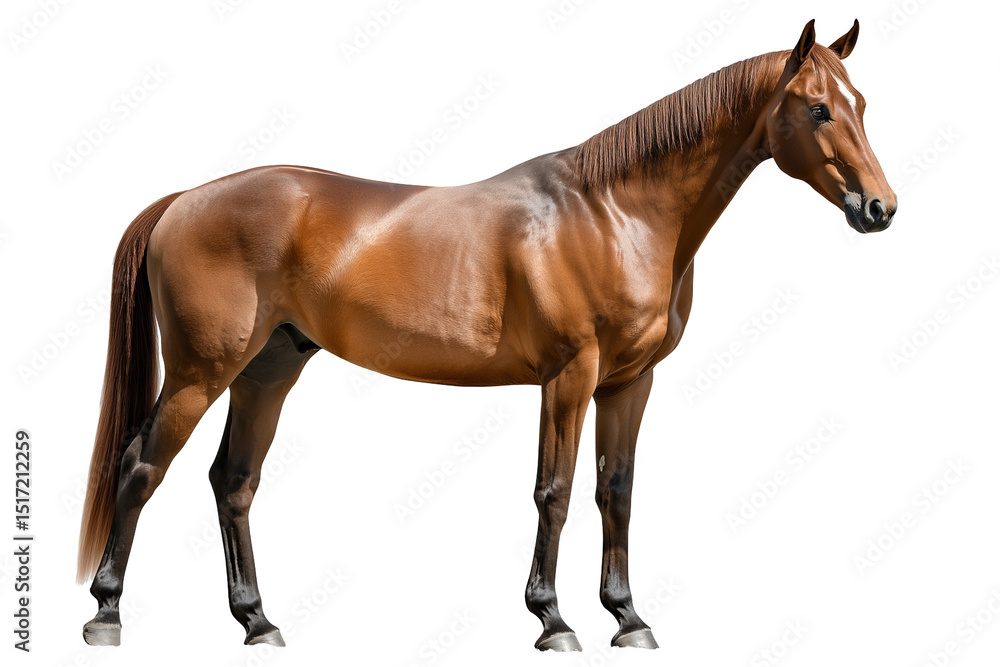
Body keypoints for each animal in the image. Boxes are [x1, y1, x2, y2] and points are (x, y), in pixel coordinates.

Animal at [78, 19, 895, 651]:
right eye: (818, 110)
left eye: (859, 103)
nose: (880, 208)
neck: (616, 213)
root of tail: (185, 199)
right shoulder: (570, 375)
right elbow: (554, 492)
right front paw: (553, 620)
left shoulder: (630, 382)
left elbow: (617, 491)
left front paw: (629, 618)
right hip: (200, 373)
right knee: (142, 465)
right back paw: (107, 612)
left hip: (268, 370)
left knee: (232, 481)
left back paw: (258, 622)